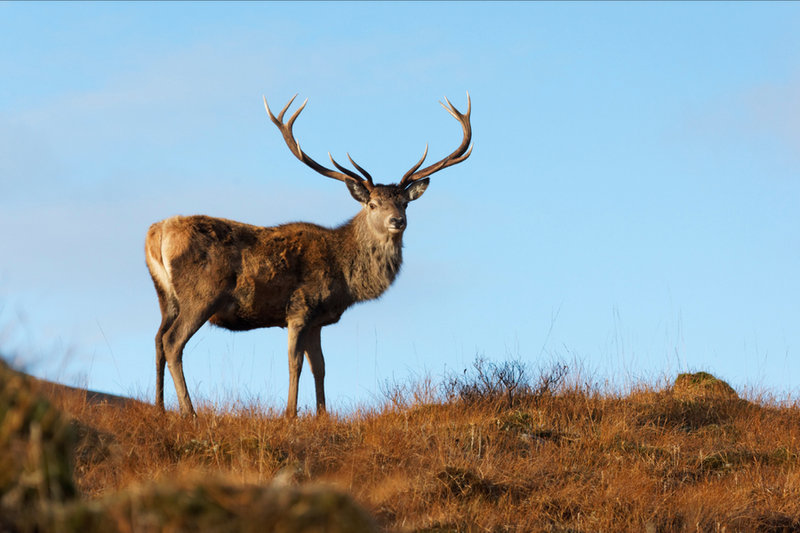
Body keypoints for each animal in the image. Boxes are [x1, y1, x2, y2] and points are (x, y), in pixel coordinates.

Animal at [145, 93, 472, 417]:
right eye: (373, 204)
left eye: (404, 203)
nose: (397, 221)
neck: (344, 275)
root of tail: (157, 233)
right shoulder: (300, 308)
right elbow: (296, 363)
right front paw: (290, 414)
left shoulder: (317, 320)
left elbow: (321, 367)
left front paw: (322, 415)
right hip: (201, 294)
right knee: (173, 342)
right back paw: (190, 412)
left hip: (165, 297)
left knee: (158, 339)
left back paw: (160, 408)